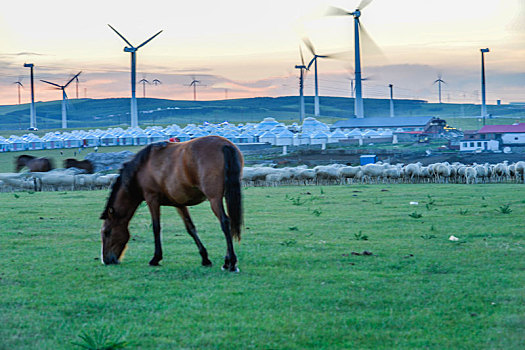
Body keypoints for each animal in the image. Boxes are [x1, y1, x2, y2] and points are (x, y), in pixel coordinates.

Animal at [100, 135, 244, 272]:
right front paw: (205, 258)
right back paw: (227, 261)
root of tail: (225, 145)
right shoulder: (179, 204)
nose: (106, 260)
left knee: (225, 222)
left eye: (107, 232)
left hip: (214, 199)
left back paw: (231, 263)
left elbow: (156, 227)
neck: (142, 167)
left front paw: (156, 258)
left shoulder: (152, 199)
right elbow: (190, 228)